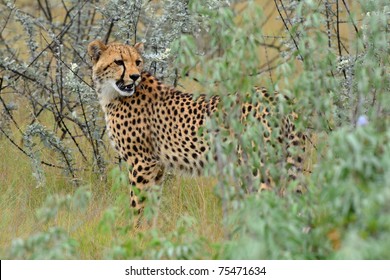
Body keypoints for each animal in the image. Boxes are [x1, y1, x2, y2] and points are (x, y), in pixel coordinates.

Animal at [88, 39, 304, 214]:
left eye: (138, 62)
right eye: (119, 62)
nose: (134, 76)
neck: (112, 94)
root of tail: (278, 97)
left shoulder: (142, 161)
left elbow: (137, 206)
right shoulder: (158, 165)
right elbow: (152, 205)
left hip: (257, 168)